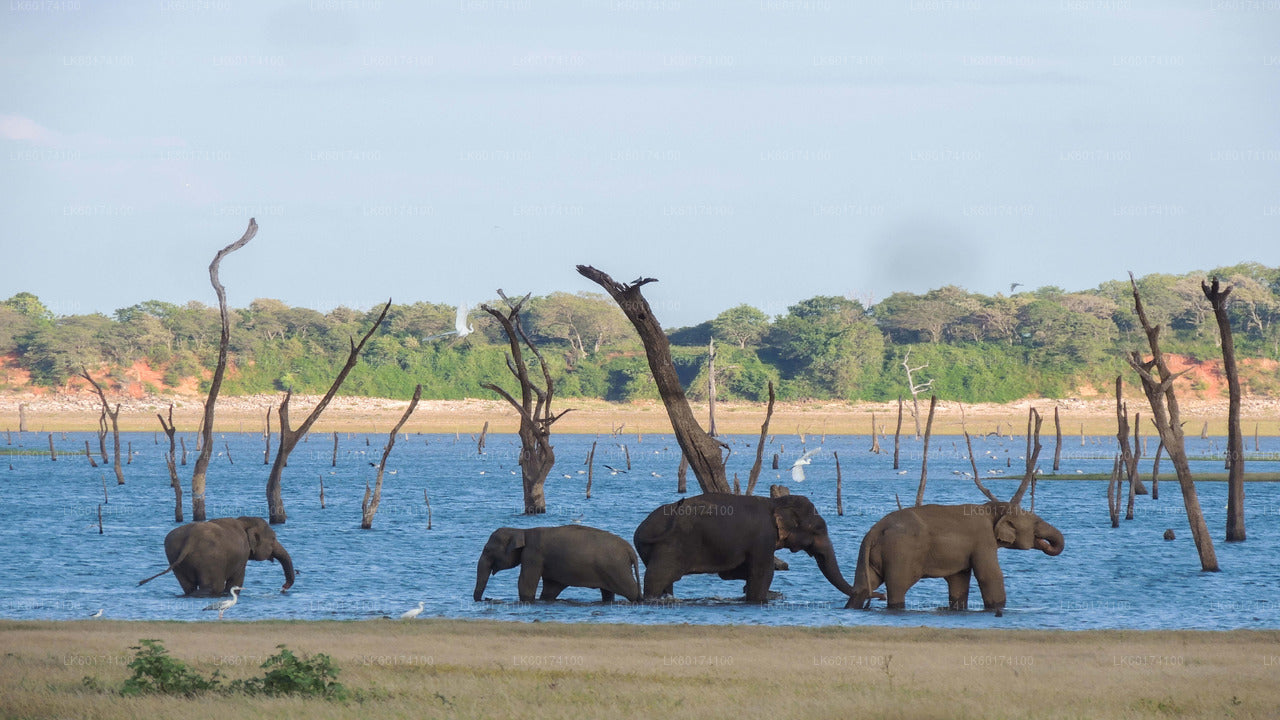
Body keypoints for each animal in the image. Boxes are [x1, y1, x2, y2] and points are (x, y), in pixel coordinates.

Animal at [138, 515, 293, 594]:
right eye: (273, 539)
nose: (283, 587)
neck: (244, 521)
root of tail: (191, 538)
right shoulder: (242, 556)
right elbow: (236, 580)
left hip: (173, 554)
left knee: (187, 585)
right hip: (210, 560)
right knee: (212, 586)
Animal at [473, 520, 640, 599]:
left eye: (487, 550)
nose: (483, 600)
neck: (523, 531)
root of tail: (630, 550)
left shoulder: (533, 555)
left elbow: (526, 583)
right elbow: (550, 589)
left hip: (617, 569)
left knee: (631, 591)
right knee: (607, 593)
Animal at [629, 489, 849, 602]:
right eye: (818, 530)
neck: (776, 502)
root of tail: (640, 530)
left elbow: (731, 572)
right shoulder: (763, 538)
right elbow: (763, 572)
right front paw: (758, 598)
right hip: (670, 546)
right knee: (658, 577)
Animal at [844, 476, 1064, 609]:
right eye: (1036, 523)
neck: (991, 508)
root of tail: (875, 530)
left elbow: (959, 580)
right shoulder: (983, 540)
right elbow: (989, 575)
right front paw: (997, 608)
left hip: (869, 556)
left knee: (863, 586)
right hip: (900, 553)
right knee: (898, 587)